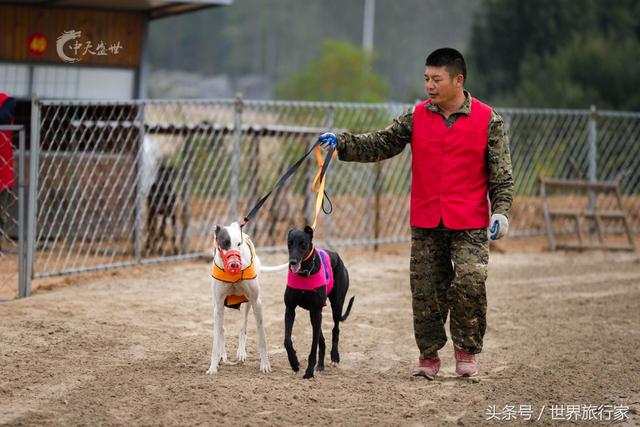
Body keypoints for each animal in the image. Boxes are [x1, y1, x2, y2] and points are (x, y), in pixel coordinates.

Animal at [208, 222, 284, 376]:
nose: (235, 265)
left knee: (243, 326)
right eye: (225, 242)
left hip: (247, 303)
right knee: (222, 328)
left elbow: (262, 337)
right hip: (217, 305)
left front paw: (265, 365)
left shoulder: (256, 302)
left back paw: (241, 353)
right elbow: (216, 337)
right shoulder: (218, 304)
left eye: (239, 244)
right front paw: (213, 366)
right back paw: (222, 355)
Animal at [284, 226, 356, 380]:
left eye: (303, 244)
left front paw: (309, 372)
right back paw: (321, 365)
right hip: (315, 313)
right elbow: (287, 340)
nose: (292, 262)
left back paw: (334, 357)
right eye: (289, 243)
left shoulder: (316, 310)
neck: (305, 271)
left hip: (336, 305)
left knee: (335, 329)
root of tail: (337, 256)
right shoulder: (290, 309)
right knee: (321, 339)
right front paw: (295, 363)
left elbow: (313, 346)